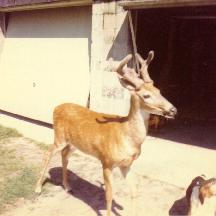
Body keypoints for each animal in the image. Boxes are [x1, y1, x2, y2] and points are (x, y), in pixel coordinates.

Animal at [35, 51, 177, 216]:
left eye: (159, 91)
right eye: (146, 95)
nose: (173, 110)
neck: (126, 136)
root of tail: (57, 107)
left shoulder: (126, 164)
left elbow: (134, 191)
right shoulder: (106, 161)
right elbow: (109, 195)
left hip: (74, 143)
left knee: (64, 155)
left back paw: (68, 187)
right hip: (59, 136)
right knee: (48, 153)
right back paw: (38, 188)